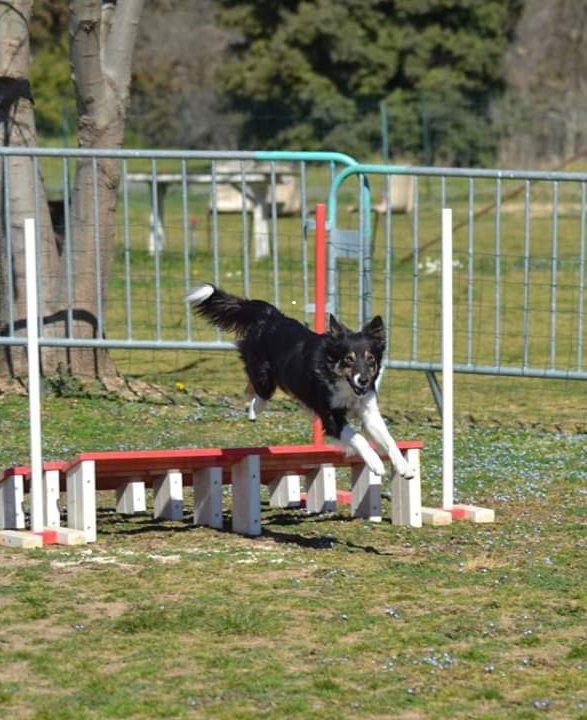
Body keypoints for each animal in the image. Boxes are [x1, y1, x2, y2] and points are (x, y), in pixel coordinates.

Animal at [186, 284, 416, 480]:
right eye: (348, 359)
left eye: (370, 360)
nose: (364, 380)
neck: (340, 382)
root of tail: (271, 316)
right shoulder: (330, 416)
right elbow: (357, 437)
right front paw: (376, 463)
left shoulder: (368, 411)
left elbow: (388, 439)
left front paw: (404, 466)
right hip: (264, 377)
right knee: (259, 390)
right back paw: (254, 408)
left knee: (251, 388)